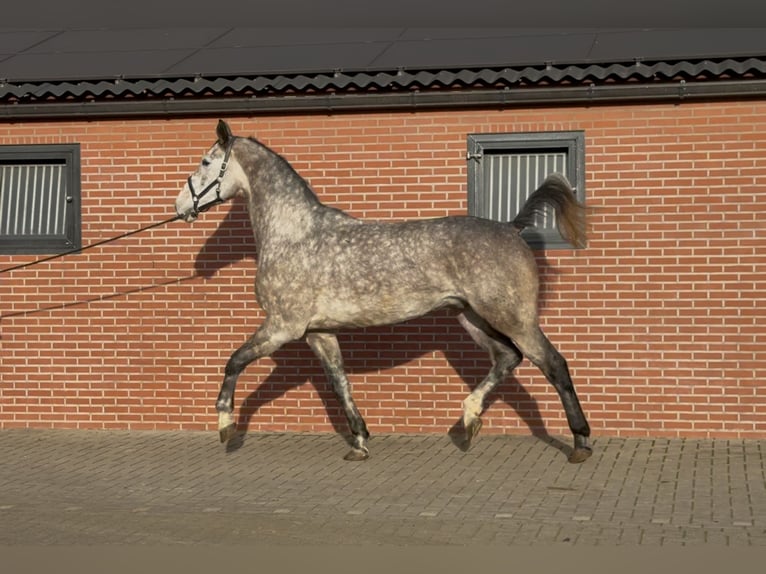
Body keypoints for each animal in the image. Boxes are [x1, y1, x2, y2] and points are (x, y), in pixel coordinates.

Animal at [174, 120, 592, 464]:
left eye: (206, 162)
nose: (180, 207)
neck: (294, 235)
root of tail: (512, 228)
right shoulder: (318, 333)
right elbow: (339, 383)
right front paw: (359, 442)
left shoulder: (282, 327)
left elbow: (234, 362)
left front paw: (225, 425)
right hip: (472, 317)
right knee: (508, 358)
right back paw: (470, 419)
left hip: (511, 317)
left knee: (554, 364)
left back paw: (580, 442)